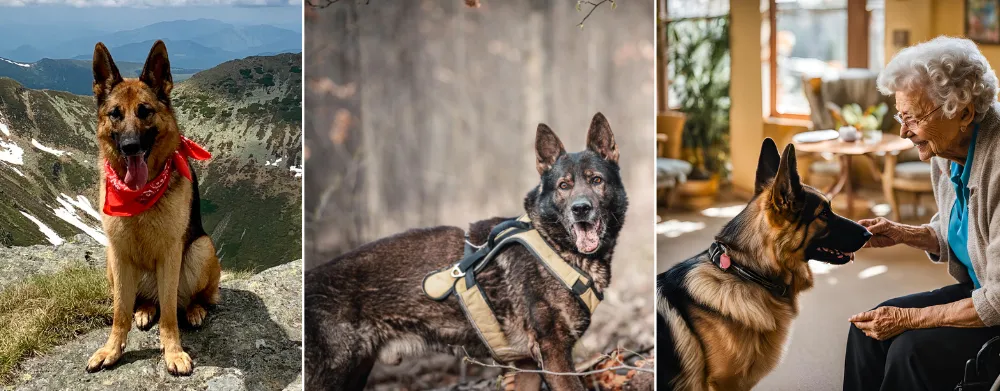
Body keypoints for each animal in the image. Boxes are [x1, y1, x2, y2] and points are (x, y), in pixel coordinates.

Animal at [87, 40, 222, 376]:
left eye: (144, 111)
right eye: (115, 114)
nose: (130, 146)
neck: (138, 195)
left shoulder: (172, 253)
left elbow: (171, 313)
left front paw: (173, 352)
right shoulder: (119, 252)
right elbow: (119, 311)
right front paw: (112, 349)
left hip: (202, 248)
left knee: (188, 299)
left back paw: (195, 310)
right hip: (111, 262)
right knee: (146, 301)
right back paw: (145, 310)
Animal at [304, 112, 628, 390]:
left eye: (596, 180)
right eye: (563, 186)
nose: (580, 209)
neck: (553, 245)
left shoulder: (527, 364)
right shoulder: (554, 354)